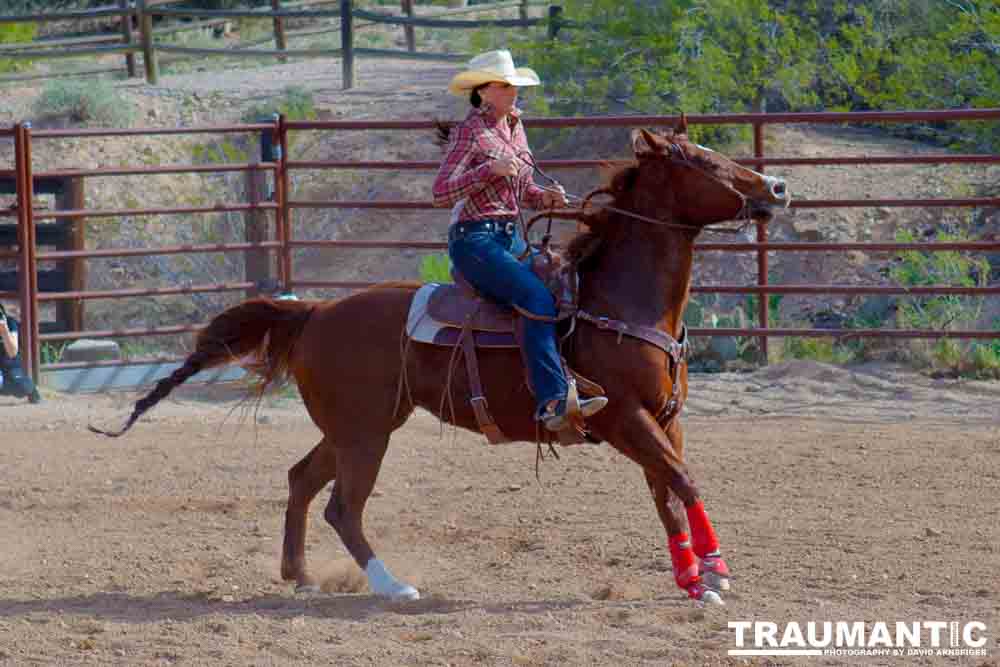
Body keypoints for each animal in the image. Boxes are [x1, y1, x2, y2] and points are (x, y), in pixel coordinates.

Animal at [97, 117, 792, 608]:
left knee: (301, 480)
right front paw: (715, 573)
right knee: (342, 506)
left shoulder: (665, 420)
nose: (778, 188)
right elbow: (684, 481)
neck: (616, 300)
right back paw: (392, 586)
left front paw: (696, 578)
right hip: (365, 433)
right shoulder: (623, 418)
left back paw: (300, 575)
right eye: (702, 161)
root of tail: (316, 312)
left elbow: (667, 492)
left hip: (357, 426)